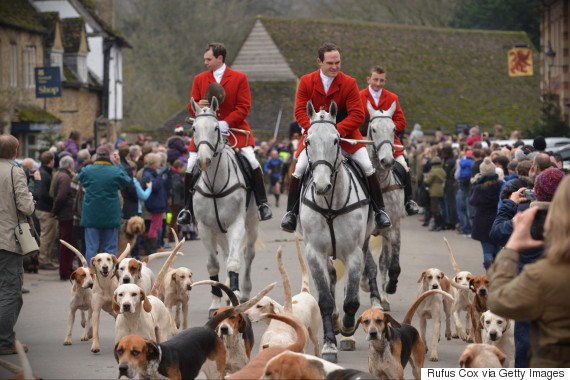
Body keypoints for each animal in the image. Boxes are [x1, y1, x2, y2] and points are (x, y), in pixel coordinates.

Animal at [189, 97, 258, 312]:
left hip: (251, 223)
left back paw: (244, 292)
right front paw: (216, 301)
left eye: (216, 128)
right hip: (220, 231)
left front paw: (235, 294)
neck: (215, 185)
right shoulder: (205, 227)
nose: (204, 161)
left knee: (248, 254)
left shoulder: (237, 224)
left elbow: (234, 262)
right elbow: (213, 264)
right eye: (193, 128)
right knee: (226, 253)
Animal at [296, 100, 374, 362]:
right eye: (308, 141)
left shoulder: (353, 253)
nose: (322, 185)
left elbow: (351, 300)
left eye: (336, 140)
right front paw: (329, 344)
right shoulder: (315, 253)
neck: (330, 202)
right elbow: (325, 300)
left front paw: (348, 327)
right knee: (330, 279)